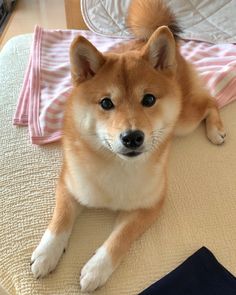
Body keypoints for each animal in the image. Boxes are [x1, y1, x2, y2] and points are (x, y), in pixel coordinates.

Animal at [30, 0, 225, 292]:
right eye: (106, 103)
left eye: (149, 99)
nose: (132, 137)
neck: (116, 166)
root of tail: (146, 39)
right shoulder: (69, 184)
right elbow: (60, 220)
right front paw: (46, 254)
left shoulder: (150, 206)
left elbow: (120, 239)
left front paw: (96, 269)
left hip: (184, 121)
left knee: (210, 102)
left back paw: (216, 130)